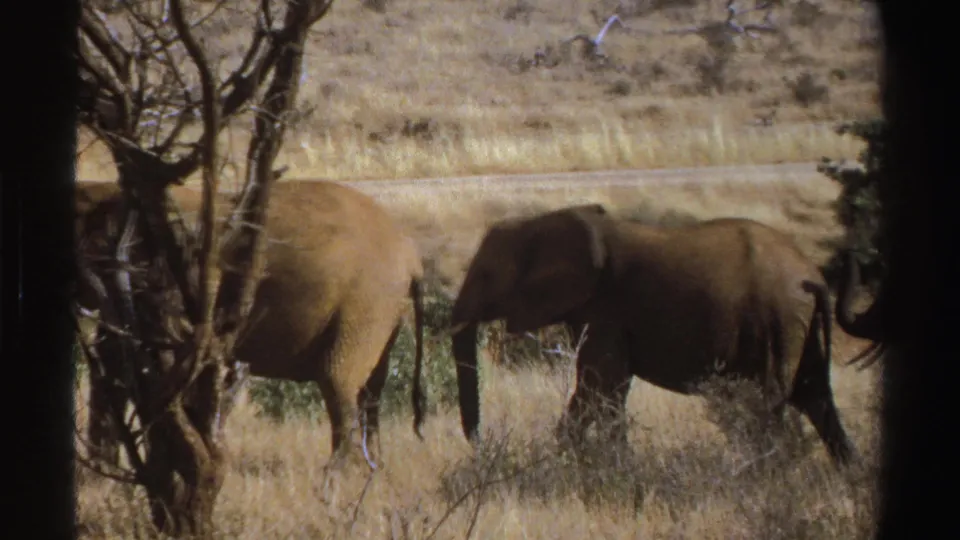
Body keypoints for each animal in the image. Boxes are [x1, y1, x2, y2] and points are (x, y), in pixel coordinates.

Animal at [74, 179, 427, 472]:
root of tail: (411, 255)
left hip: (365, 303)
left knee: (339, 378)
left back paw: (341, 477)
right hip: (380, 309)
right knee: (372, 387)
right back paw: (372, 469)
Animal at [449, 204, 858, 468]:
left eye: (486, 275)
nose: (480, 446)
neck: (542, 220)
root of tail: (813, 276)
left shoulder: (606, 307)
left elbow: (600, 386)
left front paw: (603, 467)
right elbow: (607, 389)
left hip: (776, 318)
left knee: (771, 402)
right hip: (798, 325)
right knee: (816, 396)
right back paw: (846, 475)